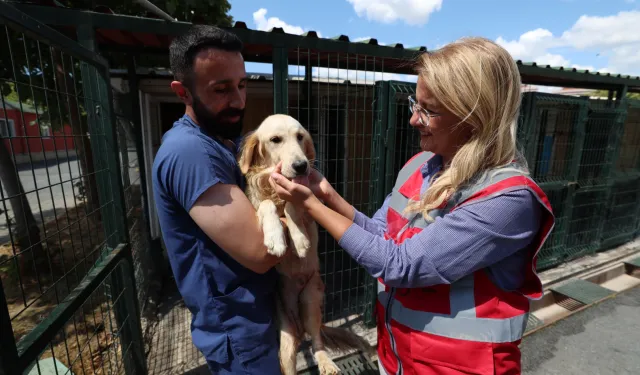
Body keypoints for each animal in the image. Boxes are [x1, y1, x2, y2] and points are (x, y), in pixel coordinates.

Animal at [239, 114, 370, 375]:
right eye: (275, 139)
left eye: (300, 137)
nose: (301, 166)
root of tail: (299, 325)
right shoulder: (255, 205)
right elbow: (266, 205)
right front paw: (276, 239)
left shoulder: (308, 210)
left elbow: (294, 205)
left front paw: (299, 241)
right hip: (286, 338)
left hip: (310, 301)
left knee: (317, 341)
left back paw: (327, 363)